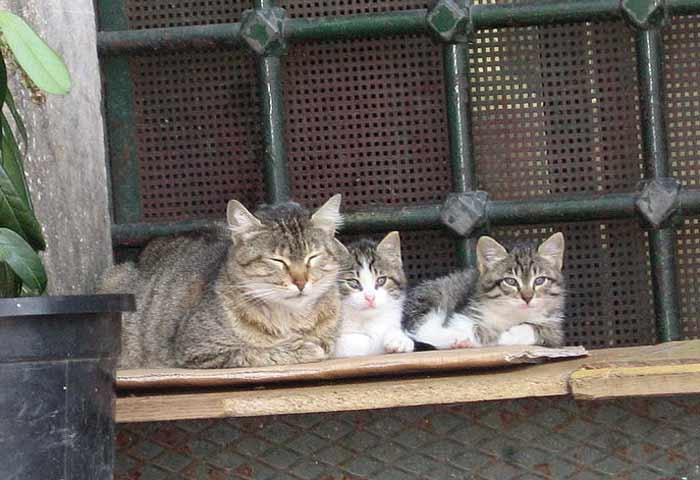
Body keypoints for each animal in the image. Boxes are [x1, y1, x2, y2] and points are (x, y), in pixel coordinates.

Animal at [100, 194, 348, 368]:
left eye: (312, 257)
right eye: (277, 260)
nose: (301, 282)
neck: (292, 318)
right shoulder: (200, 348)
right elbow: (256, 352)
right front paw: (303, 348)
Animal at [402, 232, 568, 348]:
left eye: (540, 280)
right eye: (510, 281)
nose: (527, 297)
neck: (513, 315)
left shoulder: (555, 328)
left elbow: (544, 330)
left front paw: (508, 334)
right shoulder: (463, 313)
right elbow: (472, 328)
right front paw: (489, 336)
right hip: (433, 294)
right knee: (420, 330)